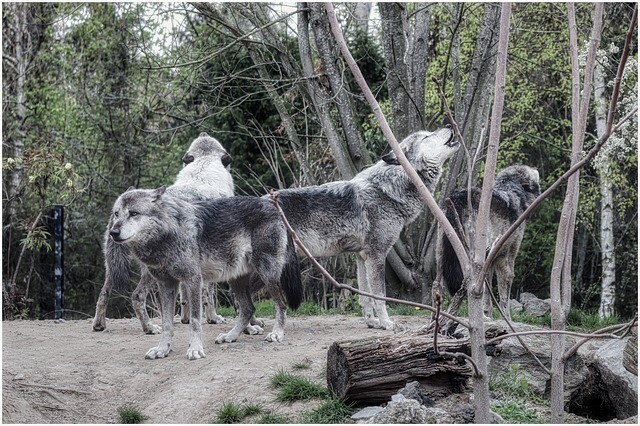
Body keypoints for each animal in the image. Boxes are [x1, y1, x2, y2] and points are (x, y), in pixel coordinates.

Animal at [92, 131, 235, 334]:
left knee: (104, 293)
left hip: (114, 268)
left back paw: (99, 324)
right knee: (137, 296)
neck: (203, 171)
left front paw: (185, 319)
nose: (203, 132)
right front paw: (213, 318)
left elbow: (185, 296)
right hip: (151, 272)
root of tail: (117, 212)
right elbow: (209, 295)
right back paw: (150, 328)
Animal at [107, 188, 302, 358]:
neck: (166, 236)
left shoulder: (193, 280)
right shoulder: (166, 285)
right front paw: (162, 349)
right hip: (236, 280)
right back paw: (230, 336)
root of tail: (274, 208)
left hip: (266, 274)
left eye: (133, 213)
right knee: (248, 309)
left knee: (281, 304)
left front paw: (195, 349)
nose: (113, 232)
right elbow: (167, 324)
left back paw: (276, 334)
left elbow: (194, 321)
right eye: (116, 214)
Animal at [436, 165, 540, 318]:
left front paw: (488, 314)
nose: (535, 168)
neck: (513, 191)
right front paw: (506, 318)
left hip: (442, 261)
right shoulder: (505, 258)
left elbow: (488, 294)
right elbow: (504, 297)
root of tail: (458, 198)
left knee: (437, 287)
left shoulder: (490, 260)